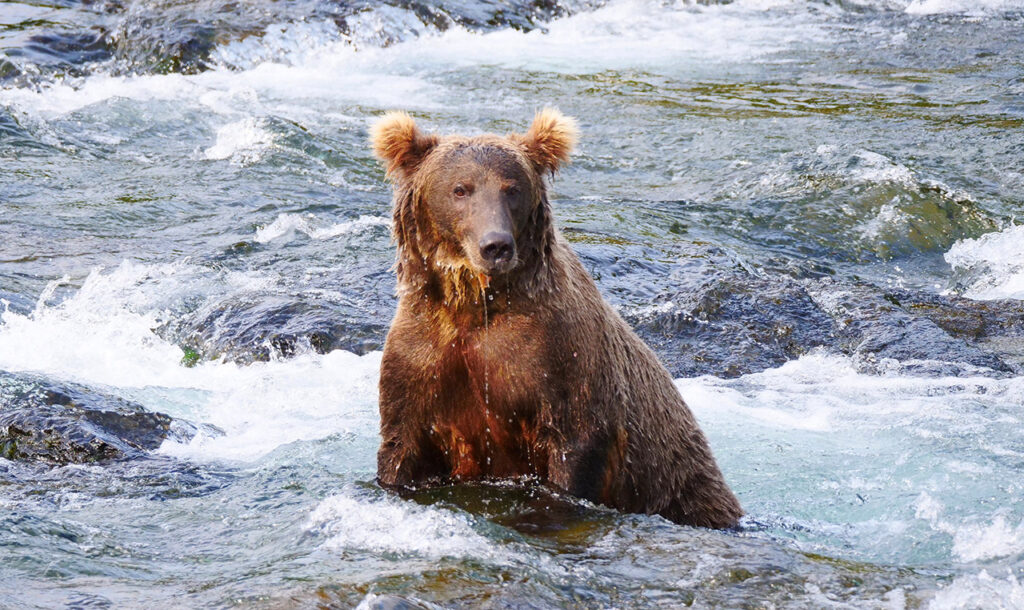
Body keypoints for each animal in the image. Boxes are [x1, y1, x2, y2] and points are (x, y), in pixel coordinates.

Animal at [372, 109, 741, 528]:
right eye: (460, 189)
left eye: (512, 189)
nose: (496, 245)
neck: (474, 304)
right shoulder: (423, 359)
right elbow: (402, 446)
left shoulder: (558, 359)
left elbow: (574, 445)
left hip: (680, 483)